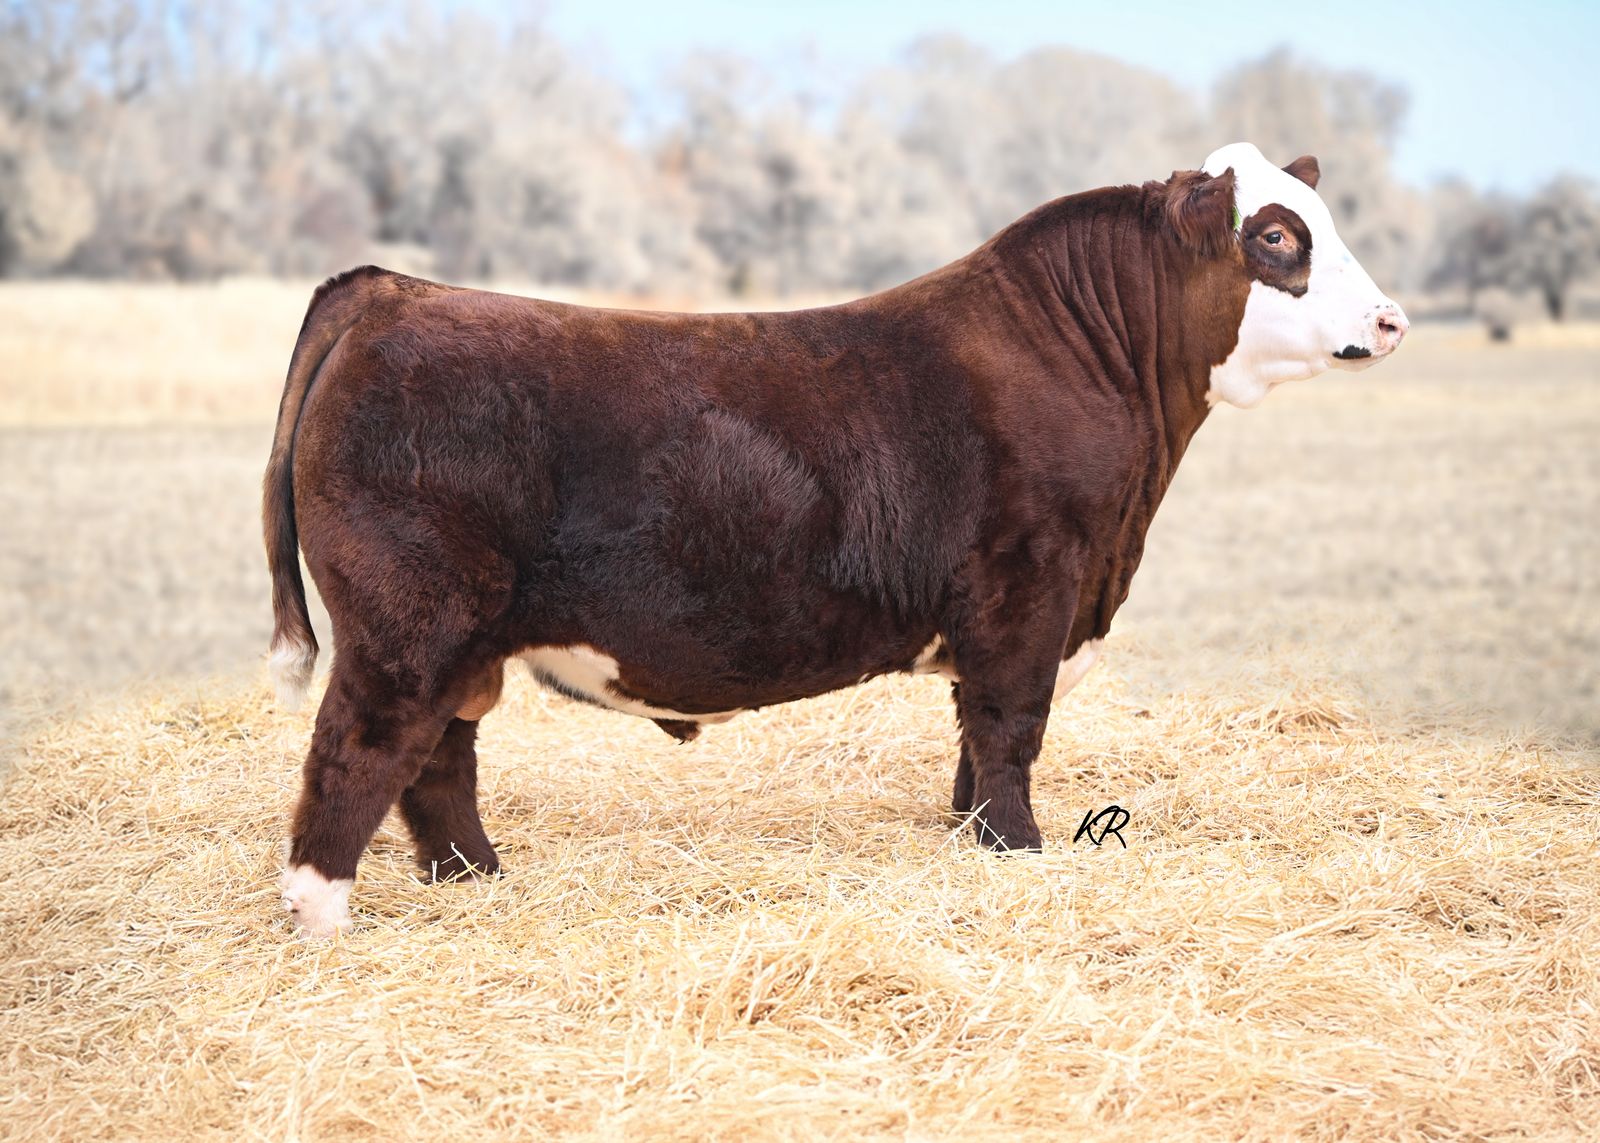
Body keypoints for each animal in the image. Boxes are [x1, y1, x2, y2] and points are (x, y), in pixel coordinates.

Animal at [265, 142, 1407, 936]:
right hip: (405, 625)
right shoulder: (1029, 589)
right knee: (359, 751)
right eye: (1275, 237)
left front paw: (972, 837)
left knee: (439, 761)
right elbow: (1011, 726)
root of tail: (391, 290)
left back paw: (476, 878)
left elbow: (972, 737)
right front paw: (1021, 847)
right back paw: (324, 919)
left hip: (460, 640)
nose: (1391, 320)